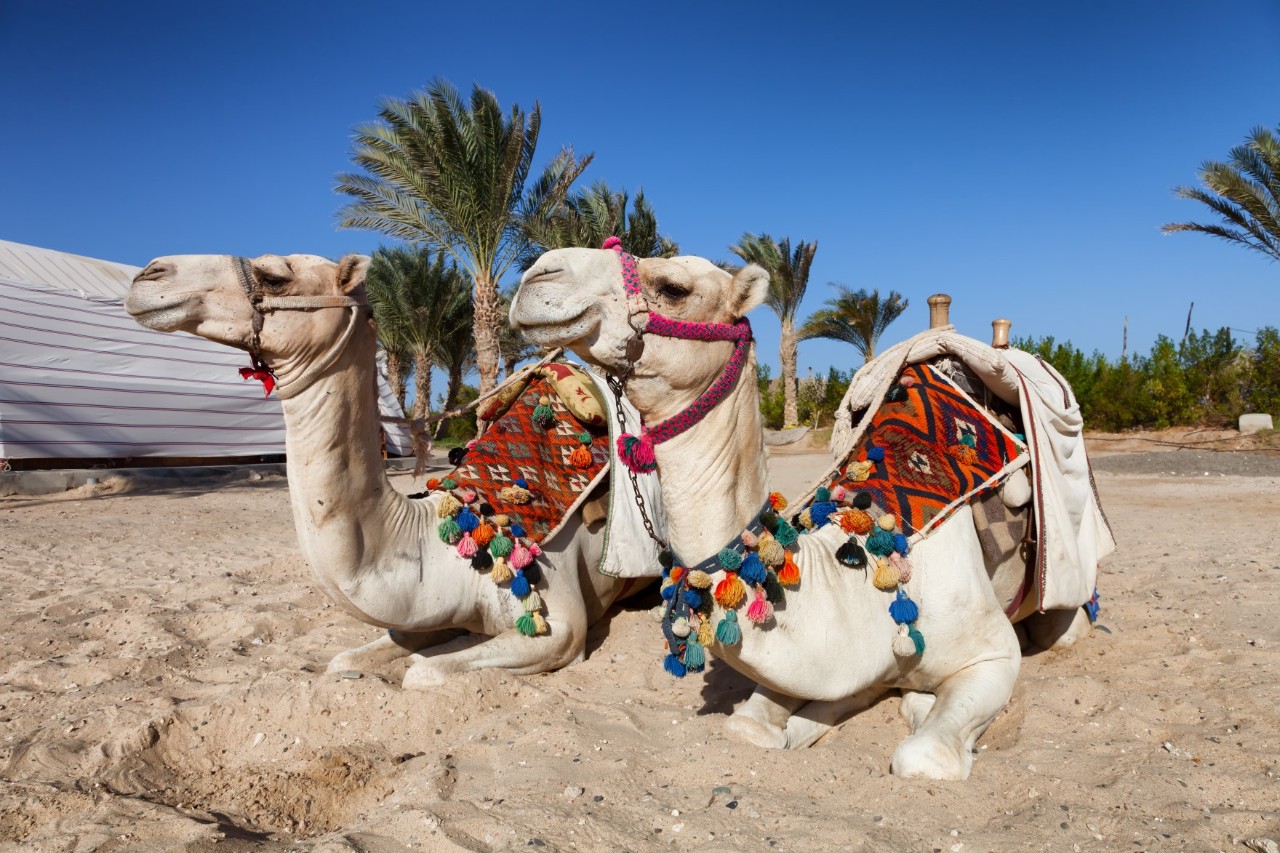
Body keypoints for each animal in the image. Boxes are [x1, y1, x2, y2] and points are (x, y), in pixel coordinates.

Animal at [510, 245, 1101, 780]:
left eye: (674, 287)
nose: (538, 274)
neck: (862, 577)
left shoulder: (991, 655)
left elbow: (922, 757)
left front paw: (915, 708)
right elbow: (754, 725)